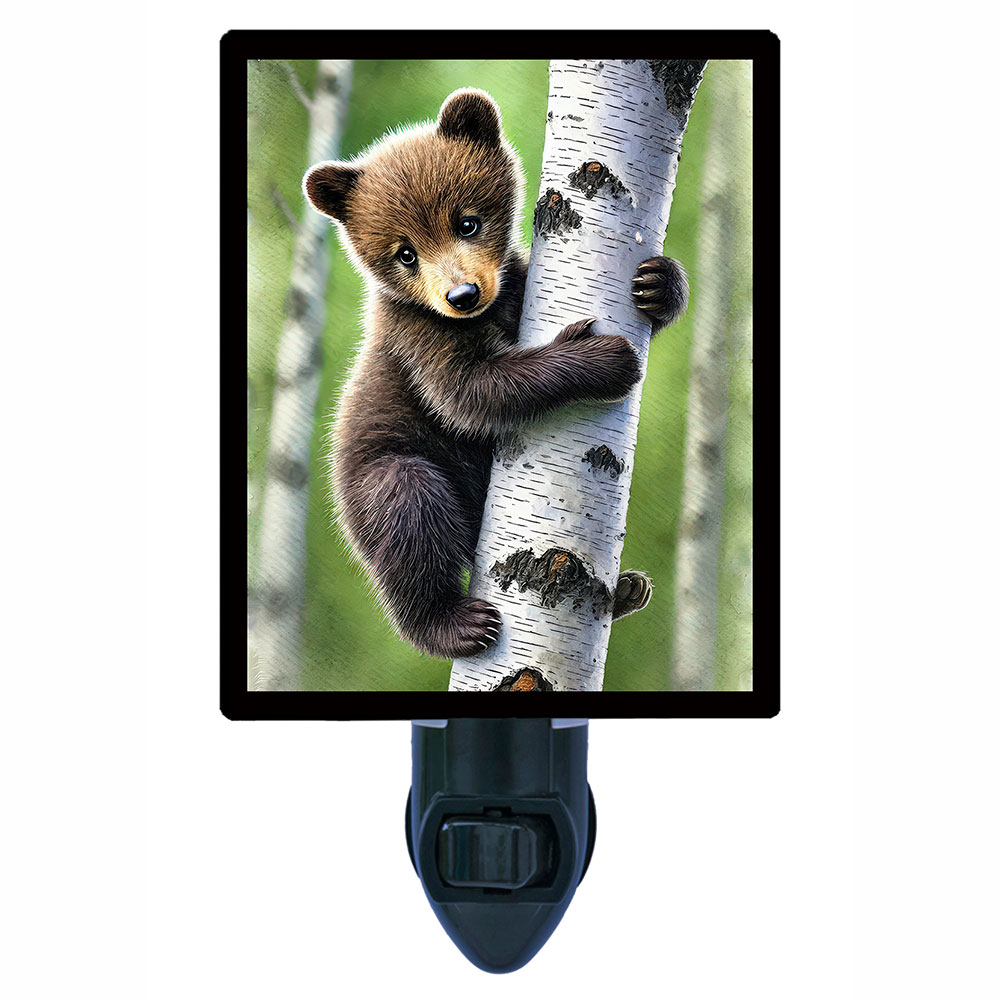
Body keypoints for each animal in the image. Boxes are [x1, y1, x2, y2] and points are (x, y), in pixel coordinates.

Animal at [303, 88, 688, 659]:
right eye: (404, 253)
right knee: (408, 517)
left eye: (467, 222)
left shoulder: (514, 285)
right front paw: (604, 357)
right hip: (381, 477)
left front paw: (659, 283)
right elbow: (473, 392)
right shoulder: (418, 339)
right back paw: (453, 623)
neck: (485, 314)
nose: (462, 295)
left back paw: (627, 589)